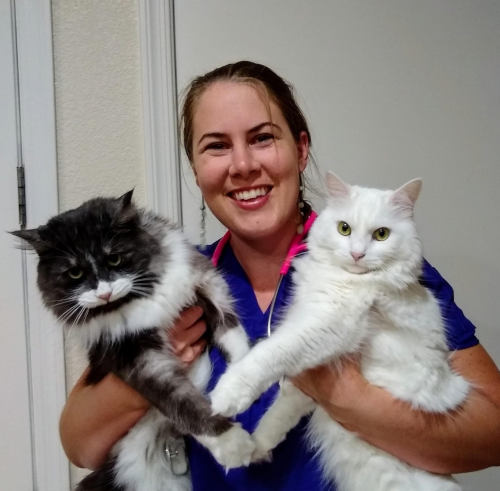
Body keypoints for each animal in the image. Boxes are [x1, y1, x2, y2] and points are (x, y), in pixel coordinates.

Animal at [11, 191, 254, 491]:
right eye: (75, 274)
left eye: (114, 259)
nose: (104, 293)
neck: (142, 300)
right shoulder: (138, 359)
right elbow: (184, 404)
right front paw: (232, 443)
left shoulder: (203, 286)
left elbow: (230, 329)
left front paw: (247, 375)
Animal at [209, 173, 470, 491]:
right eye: (344, 229)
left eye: (381, 234)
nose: (357, 254)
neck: (346, 279)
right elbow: (283, 410)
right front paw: (257, 446)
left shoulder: (327, 325)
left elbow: (268, 355)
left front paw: (226, 396)